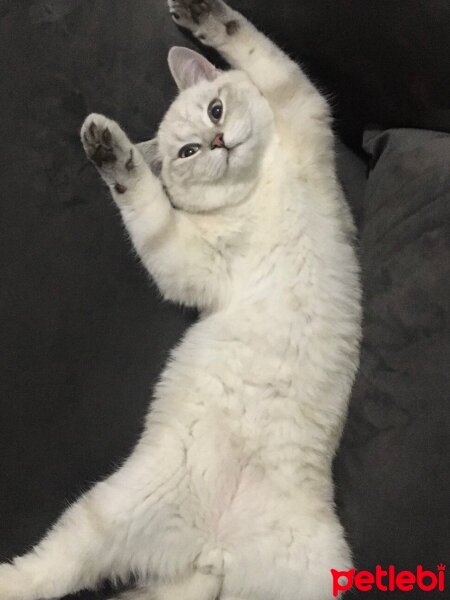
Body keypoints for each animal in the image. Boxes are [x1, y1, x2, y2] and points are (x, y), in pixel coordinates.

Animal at [0, 1, 362, 600]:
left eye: (217, 110)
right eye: (188, 151)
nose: (218, 144)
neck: (255, 189)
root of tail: (212, 554)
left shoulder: (301, 110)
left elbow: (249, 46)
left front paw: (198, 16)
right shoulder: (185, 256)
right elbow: (146, 200)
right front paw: (110, 148)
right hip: (106, 513)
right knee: (46, 573)